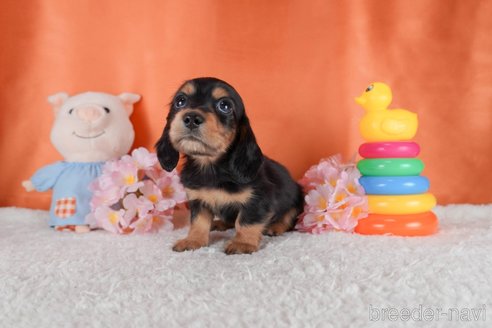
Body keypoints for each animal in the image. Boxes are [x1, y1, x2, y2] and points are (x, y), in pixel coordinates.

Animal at [157, 78, 304, 255]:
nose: (191, 117)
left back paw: (275, 226)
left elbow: (246, 221)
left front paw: (243, 243)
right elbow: (198, 222)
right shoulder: (198, 199)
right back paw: (219, 223)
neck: (211, 166)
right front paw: (193, 240)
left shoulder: (258, 199)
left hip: (298, 198)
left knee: (289, 217)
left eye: (225, 106)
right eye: (180, 101)